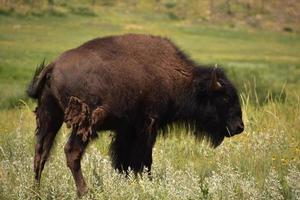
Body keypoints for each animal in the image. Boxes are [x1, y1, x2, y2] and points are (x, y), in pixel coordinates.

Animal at [27, 33, 244, 196]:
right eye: (224, 97)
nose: (239, 126)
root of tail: (53, 65)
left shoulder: (126, 130)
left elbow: (124, 161)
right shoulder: (147, 126)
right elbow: (143, 159)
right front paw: (147, 183)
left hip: (50, 116)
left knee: (41, 152)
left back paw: (36, 190)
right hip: (83, 124)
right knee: (71, 152)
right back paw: (84, 192)